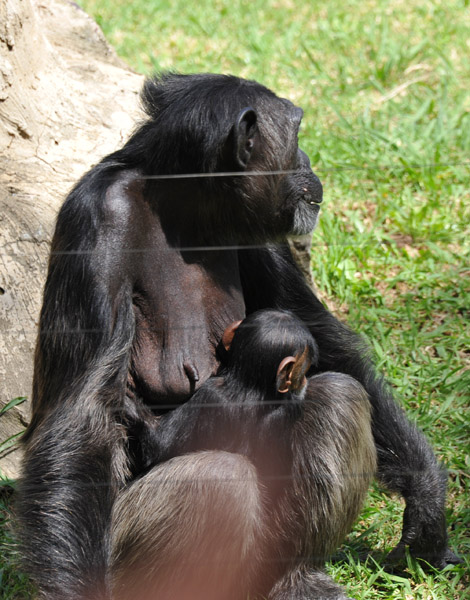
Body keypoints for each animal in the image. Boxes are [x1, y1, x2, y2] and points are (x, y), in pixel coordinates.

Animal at [108, 310, 376, 600]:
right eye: (304, 369)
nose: (303, 379)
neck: (252, 386)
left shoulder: (210, 395)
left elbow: (156, 448)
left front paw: (131, 405)